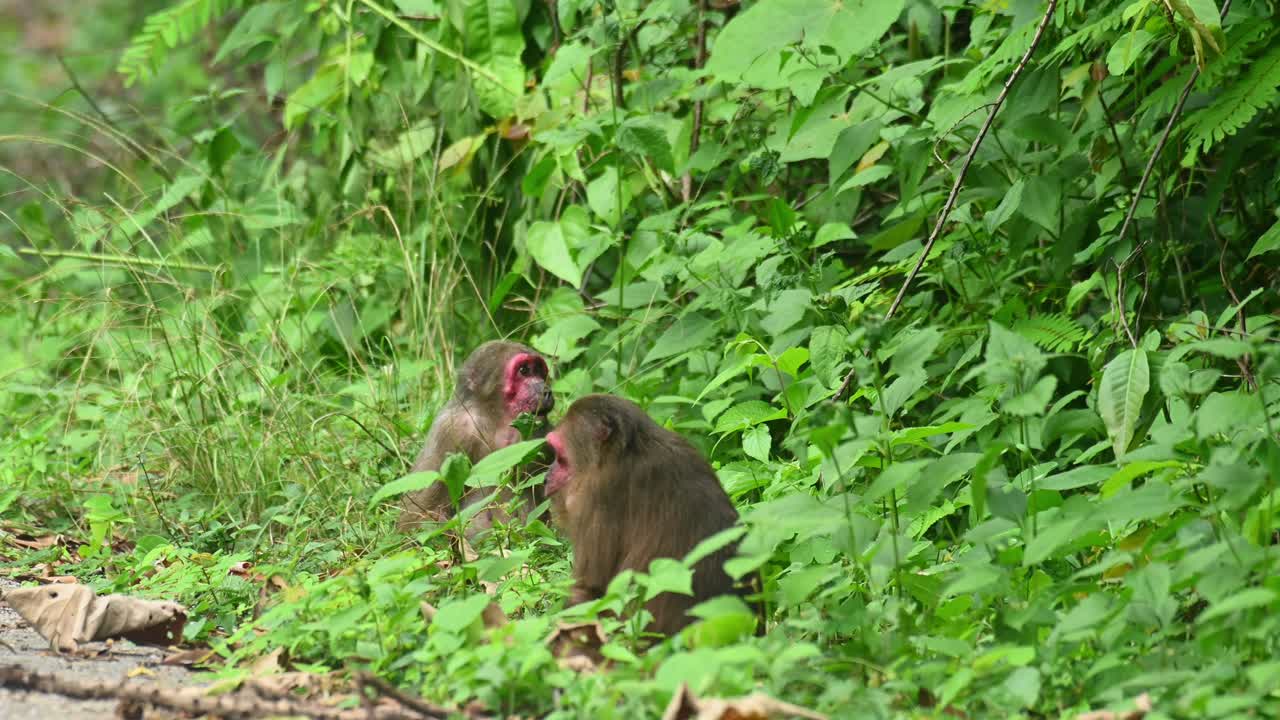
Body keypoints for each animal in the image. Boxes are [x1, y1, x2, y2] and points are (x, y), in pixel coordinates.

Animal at [397, 340, 555, 537]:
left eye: (540, 371)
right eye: (524, 370)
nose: (546, 390)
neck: (496, 422)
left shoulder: (542, 434)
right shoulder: (451, 430)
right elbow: (417, 516)